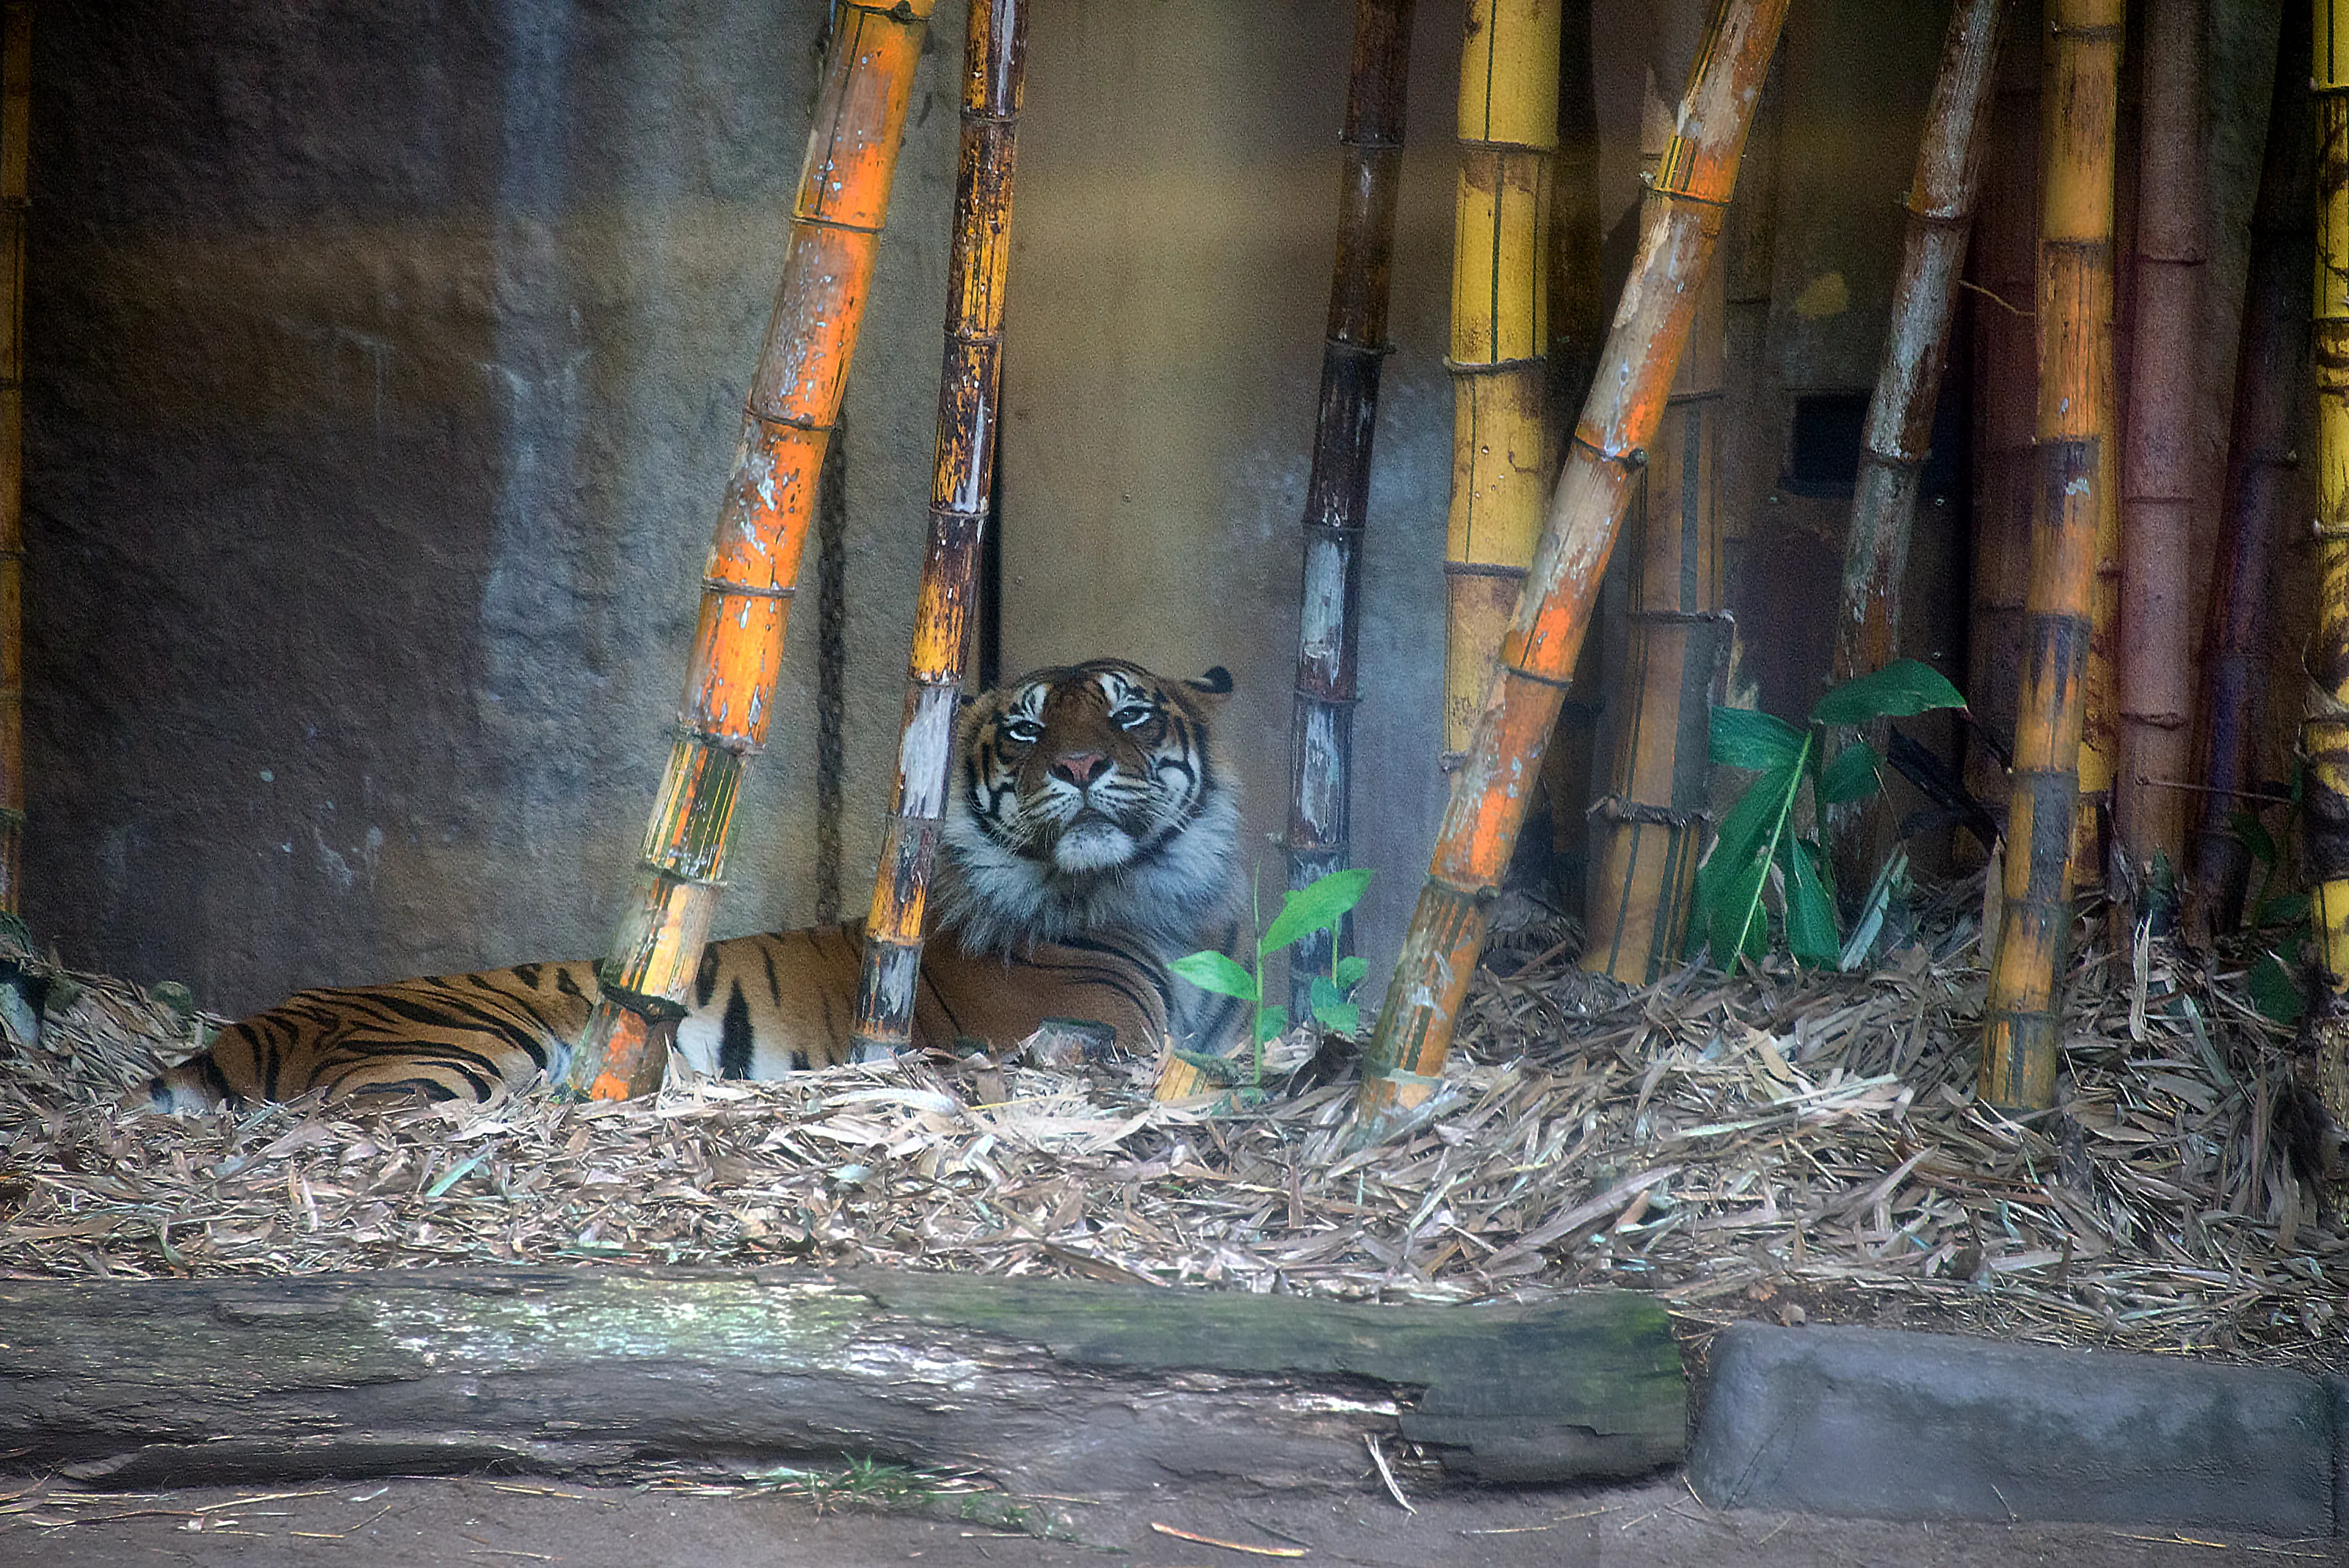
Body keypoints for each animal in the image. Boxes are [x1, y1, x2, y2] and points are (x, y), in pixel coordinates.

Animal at [143, 658, 1247, 1110]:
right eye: (1022, 729)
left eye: (1130, 715)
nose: (1078, 767)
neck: (1160, 898)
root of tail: (250, 1029)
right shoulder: (1116, 1029)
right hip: (464, 1051)